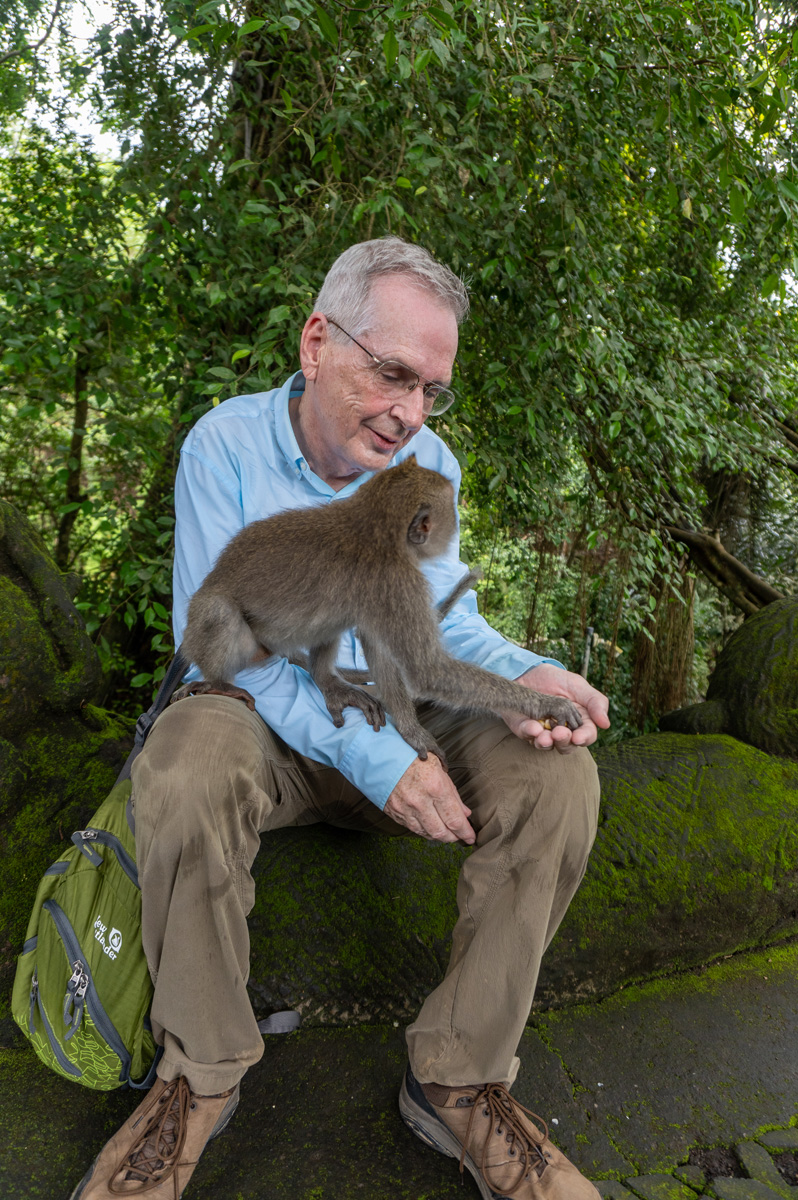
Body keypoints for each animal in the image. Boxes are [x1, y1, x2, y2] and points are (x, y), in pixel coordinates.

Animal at [174, 456, 582, 767]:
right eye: (448, 512)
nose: (456, 525)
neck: (371, 523)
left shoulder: (386, 591)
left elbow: (380, 646)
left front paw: (409, 729)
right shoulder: (397, 581)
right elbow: (427, 669)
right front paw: (548, 702)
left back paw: (325, 679)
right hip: (209, 630)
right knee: (220, 612)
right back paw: (216, 681)